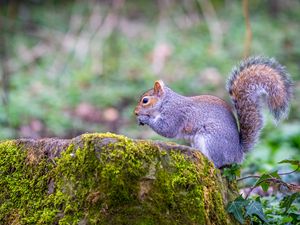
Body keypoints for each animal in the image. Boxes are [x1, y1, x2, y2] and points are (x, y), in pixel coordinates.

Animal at [134, 57, 292, 168]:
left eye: (145, 100)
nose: (135, 112)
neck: (166, 102)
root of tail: (237, 153)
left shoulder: (175, 114)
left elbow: (167, 130)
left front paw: (145, 118)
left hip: (211, 140)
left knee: (218, 164)